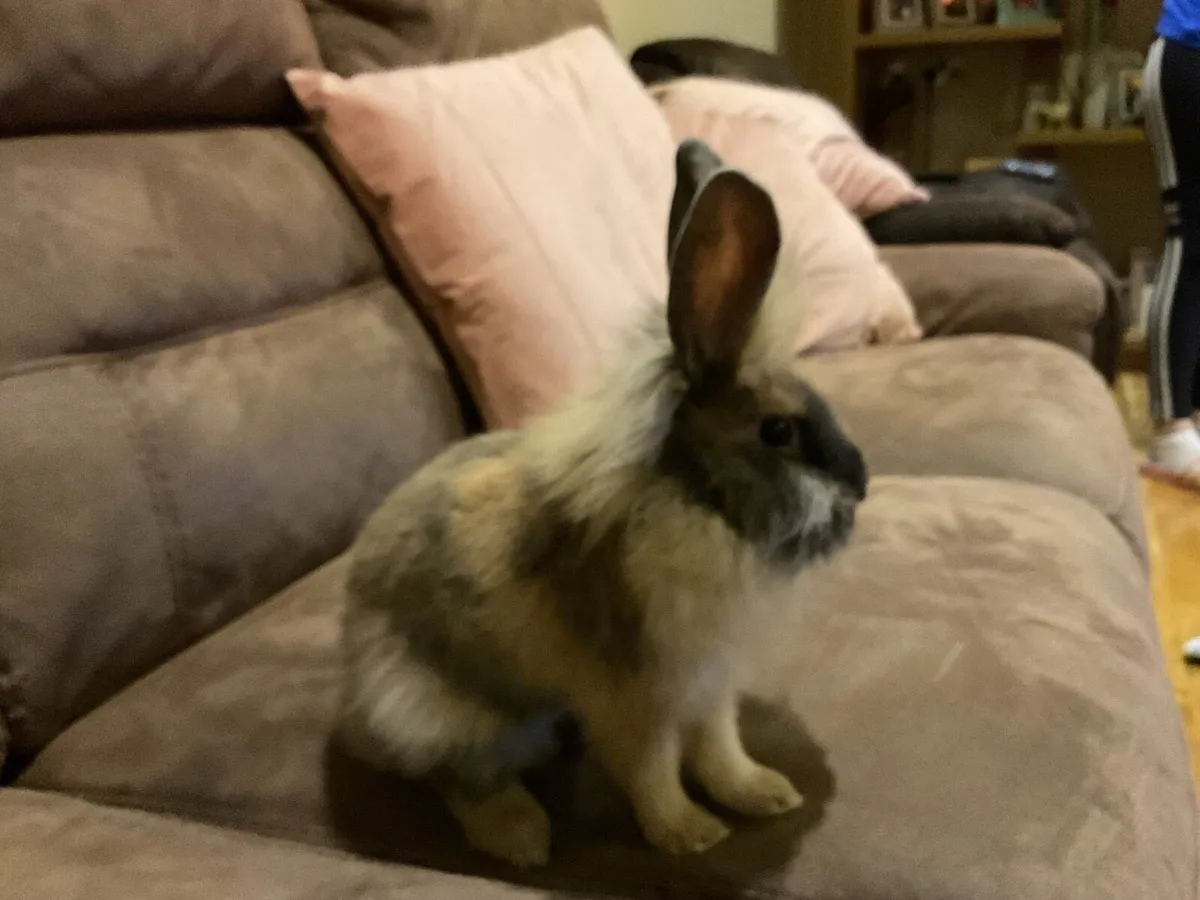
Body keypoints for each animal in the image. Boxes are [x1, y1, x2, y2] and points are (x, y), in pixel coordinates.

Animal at [336, 138, 868, 868]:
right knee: (458, 777)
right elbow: (652, 769)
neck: (694, 501)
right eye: (777, 431)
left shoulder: (709, 683)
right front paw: (690, 836)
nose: (862, 485)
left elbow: (720, 748)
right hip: (443, 708)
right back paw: (523, 838)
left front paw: (766, 794)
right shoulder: (635, 693)